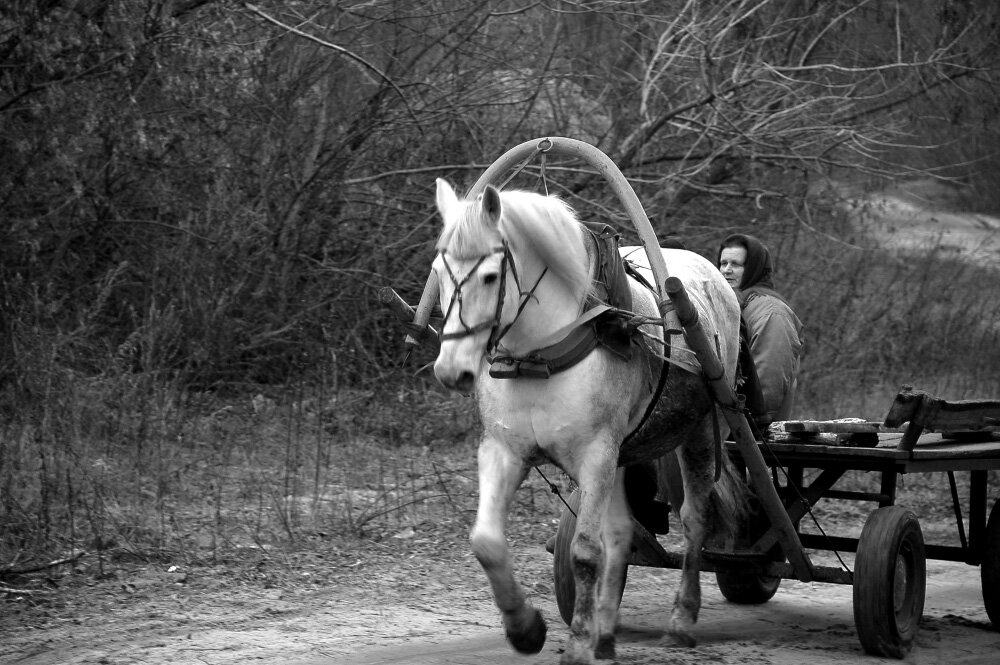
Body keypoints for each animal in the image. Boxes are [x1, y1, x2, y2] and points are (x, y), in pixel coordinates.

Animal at [430, 179, 744, 660]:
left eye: (488, 276)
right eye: (438, 272)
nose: (451, 371)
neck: (542, 355)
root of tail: (713, 275)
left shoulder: (596, 455)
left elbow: (584, 553)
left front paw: (577, 643)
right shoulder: (504, 451)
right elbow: (486, 543)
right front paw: (526, 628)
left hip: (699, 434)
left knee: (695, 520)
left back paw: (680, 619)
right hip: (624, 454)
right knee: (620, 534)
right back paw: (606, 634)